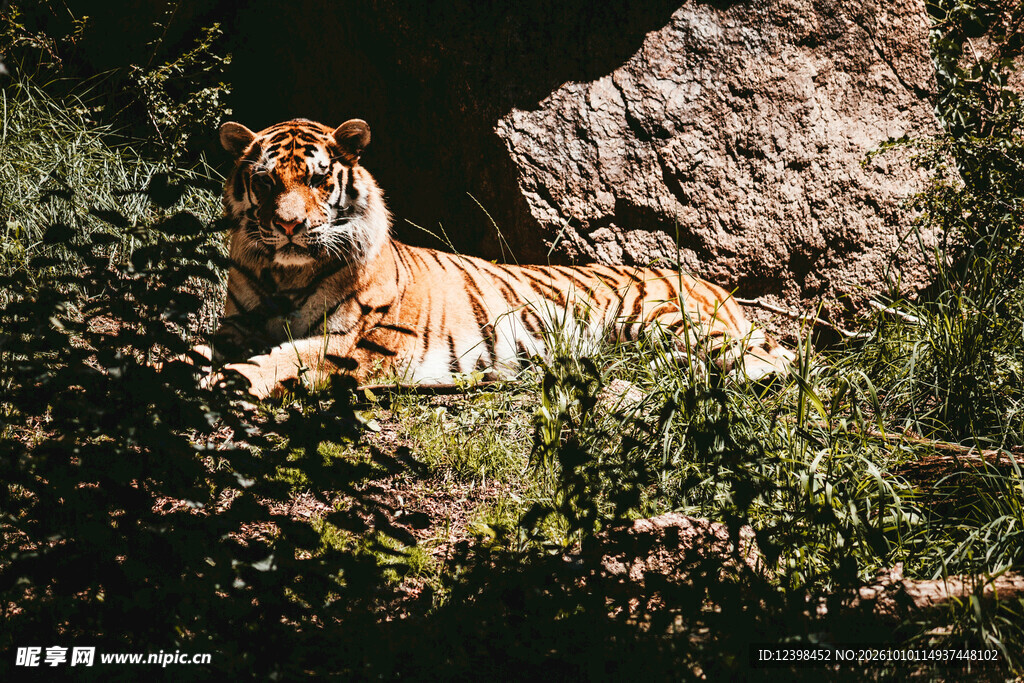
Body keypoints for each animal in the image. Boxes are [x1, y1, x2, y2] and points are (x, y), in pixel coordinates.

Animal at [207, 117, 794, 398]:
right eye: (266, 182)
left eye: (317, 179)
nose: (289, 226)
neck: (283, 274)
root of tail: (714, 286)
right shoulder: (236, 324)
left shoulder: (355, 342)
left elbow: (283, 359)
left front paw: (229, 382)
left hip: (664, 319)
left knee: (773, 366)